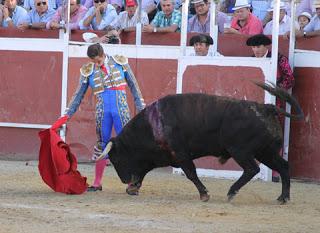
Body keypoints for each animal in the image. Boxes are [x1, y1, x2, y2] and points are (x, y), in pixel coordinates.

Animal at [99, 83, 302, 203]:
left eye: (115, 159)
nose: (124, 180)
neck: (152, 125)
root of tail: (267, 108)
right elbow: (142, 172)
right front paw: (132, 188)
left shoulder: (180, 154)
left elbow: (191, 173)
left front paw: (204, 194)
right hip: (265, 152)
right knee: (283, 166)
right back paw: (283, 197)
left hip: (240, 151)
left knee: (252, 169)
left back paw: (231, 192)